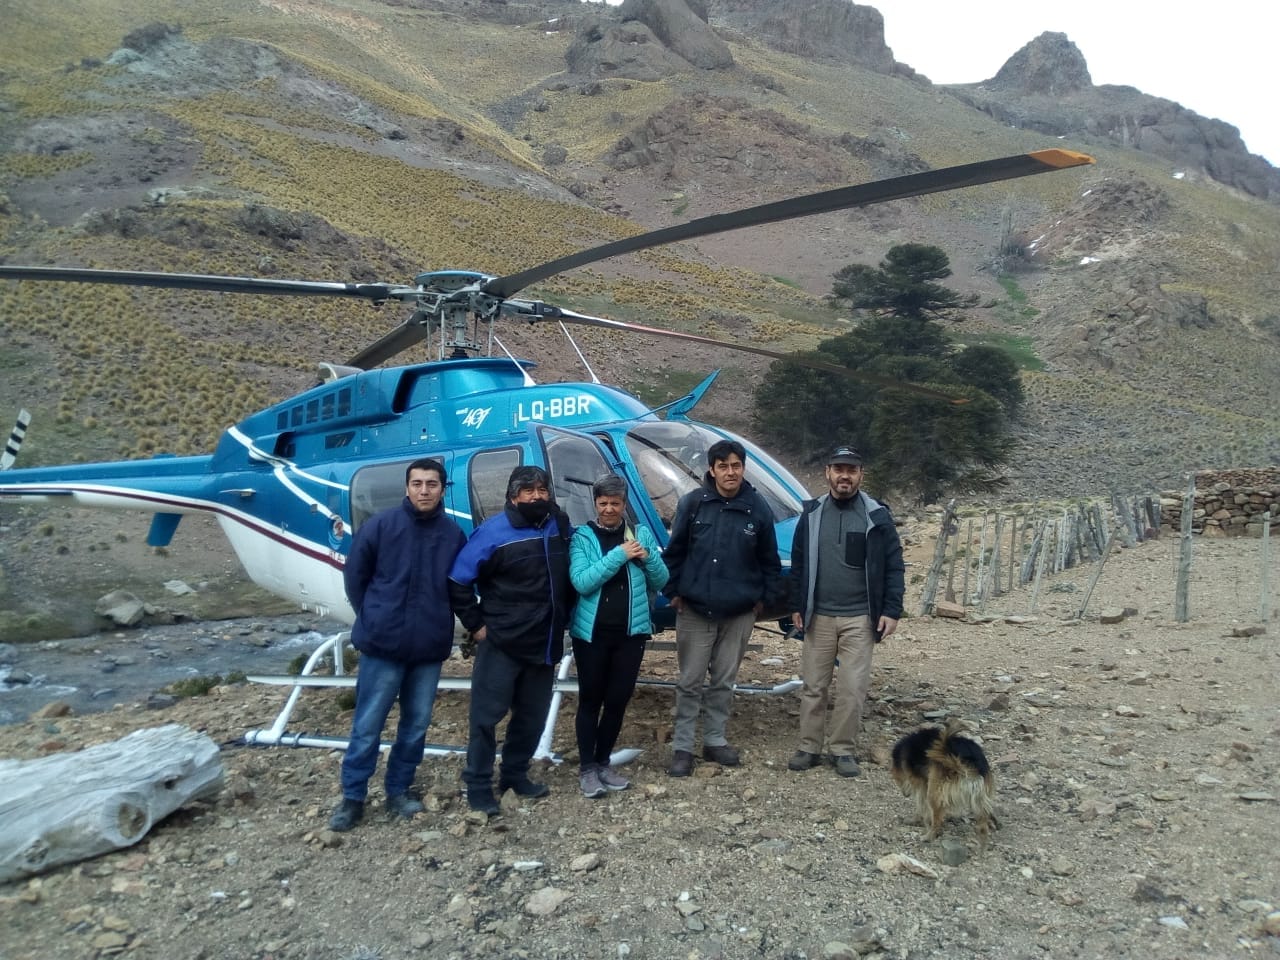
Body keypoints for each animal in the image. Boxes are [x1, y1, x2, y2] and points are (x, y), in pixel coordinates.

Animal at [890, 721, 998, 849]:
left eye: (897, 779)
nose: (905, 794)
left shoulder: (921, 784)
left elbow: (921, 805)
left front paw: (915, 819)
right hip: (980, 793)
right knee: (984, 815)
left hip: (934, 790)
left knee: (937, 818)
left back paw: (929, 836)